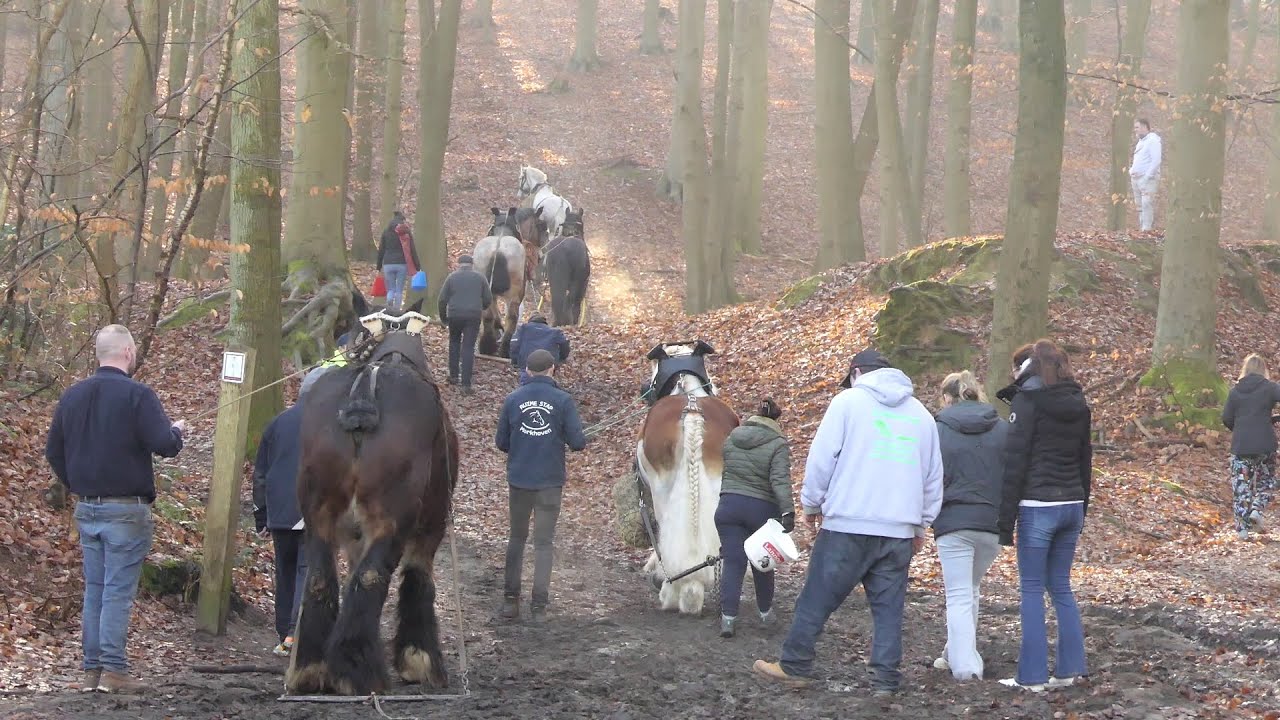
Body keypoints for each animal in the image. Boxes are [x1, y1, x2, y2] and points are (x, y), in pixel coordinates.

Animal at [286, 294, 460, 696]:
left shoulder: (351, 534)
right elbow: (417, 580)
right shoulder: (431, 525)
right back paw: (358, 671)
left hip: (318, 515)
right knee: (371, 578)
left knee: (321, 578)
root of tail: (364, 390)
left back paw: (312, 667)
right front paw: (419, 659)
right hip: (395, 519)